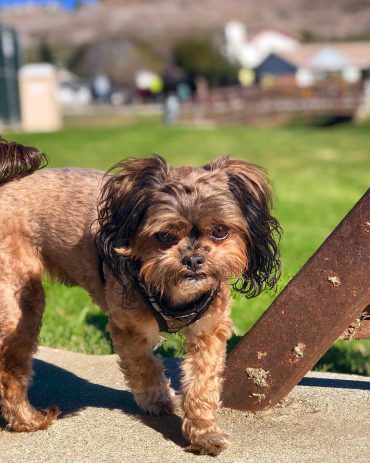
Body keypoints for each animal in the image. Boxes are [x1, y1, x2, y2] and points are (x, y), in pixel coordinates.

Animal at [0, 139, 280, 456]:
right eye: (164, 236)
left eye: (220, 231)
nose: (193, 258)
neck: (173, 294)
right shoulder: (129, 329)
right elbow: (145, 366)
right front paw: (157, 399)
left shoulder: (209, 331)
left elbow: (202, 385)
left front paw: (205, 433)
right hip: (22, 303)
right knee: (11, 370)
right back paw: (28, 420)